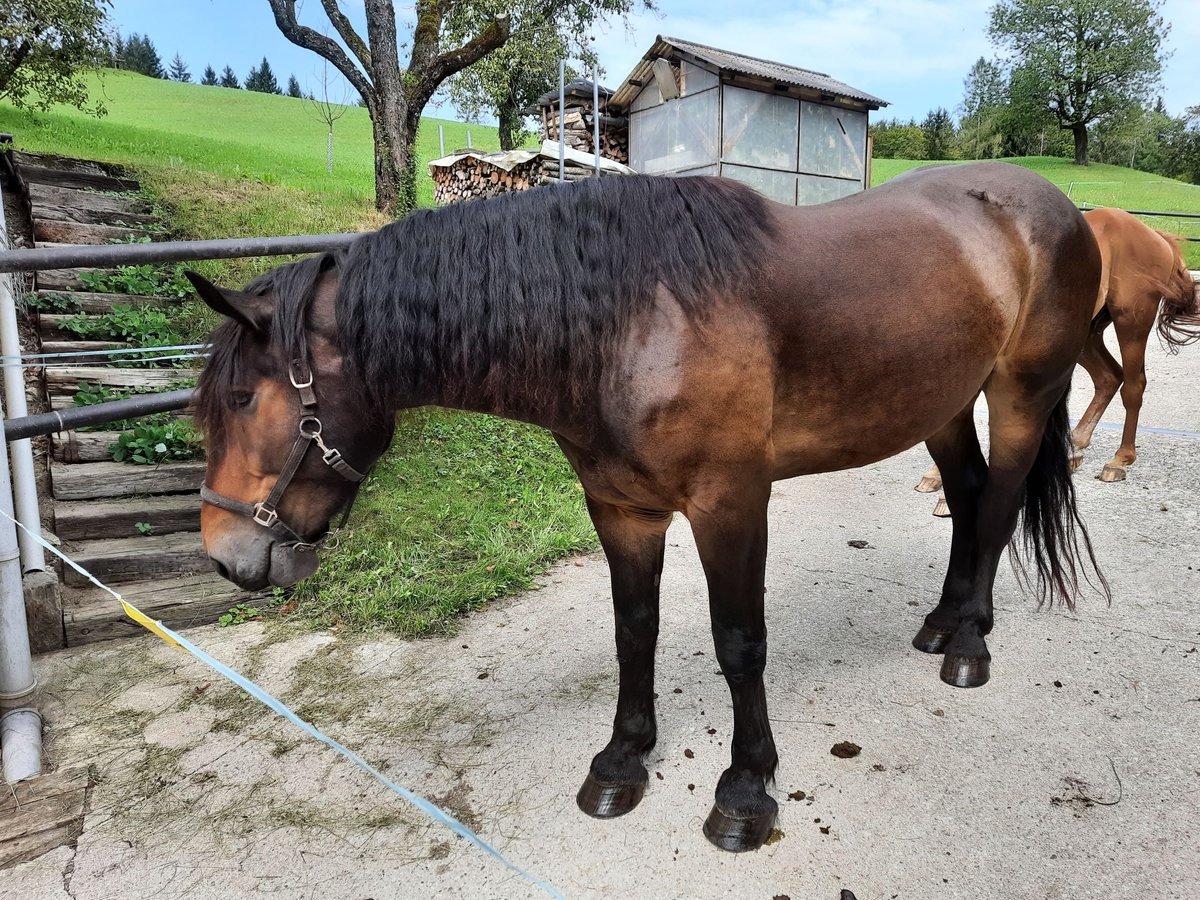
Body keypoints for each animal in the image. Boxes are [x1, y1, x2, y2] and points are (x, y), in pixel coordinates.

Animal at [184, 162, 1104, 854]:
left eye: (241, 397)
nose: (226, 556)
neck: (628, 324)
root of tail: (1059, 204)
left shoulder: (732, 503)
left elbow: (739, 644)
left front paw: (745, 790)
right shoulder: (621, 508)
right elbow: (635, 631)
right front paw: (623, 761)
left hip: (1021, 392)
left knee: (998, 507)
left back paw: (971, 643)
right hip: (940, 403)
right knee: (969, 494)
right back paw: (943, 622)